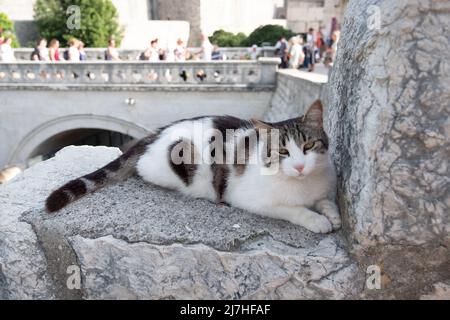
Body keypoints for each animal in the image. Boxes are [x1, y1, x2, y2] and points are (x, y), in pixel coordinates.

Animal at [45, 99, 342, 232]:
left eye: (308, 146)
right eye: (282, 151)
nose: (300, 167)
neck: (304, 184)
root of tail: (155, 133)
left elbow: (325, 200)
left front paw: (333, 214)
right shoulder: (252, 199)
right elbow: (292, 209)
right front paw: (316, 220)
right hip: (177, 156)